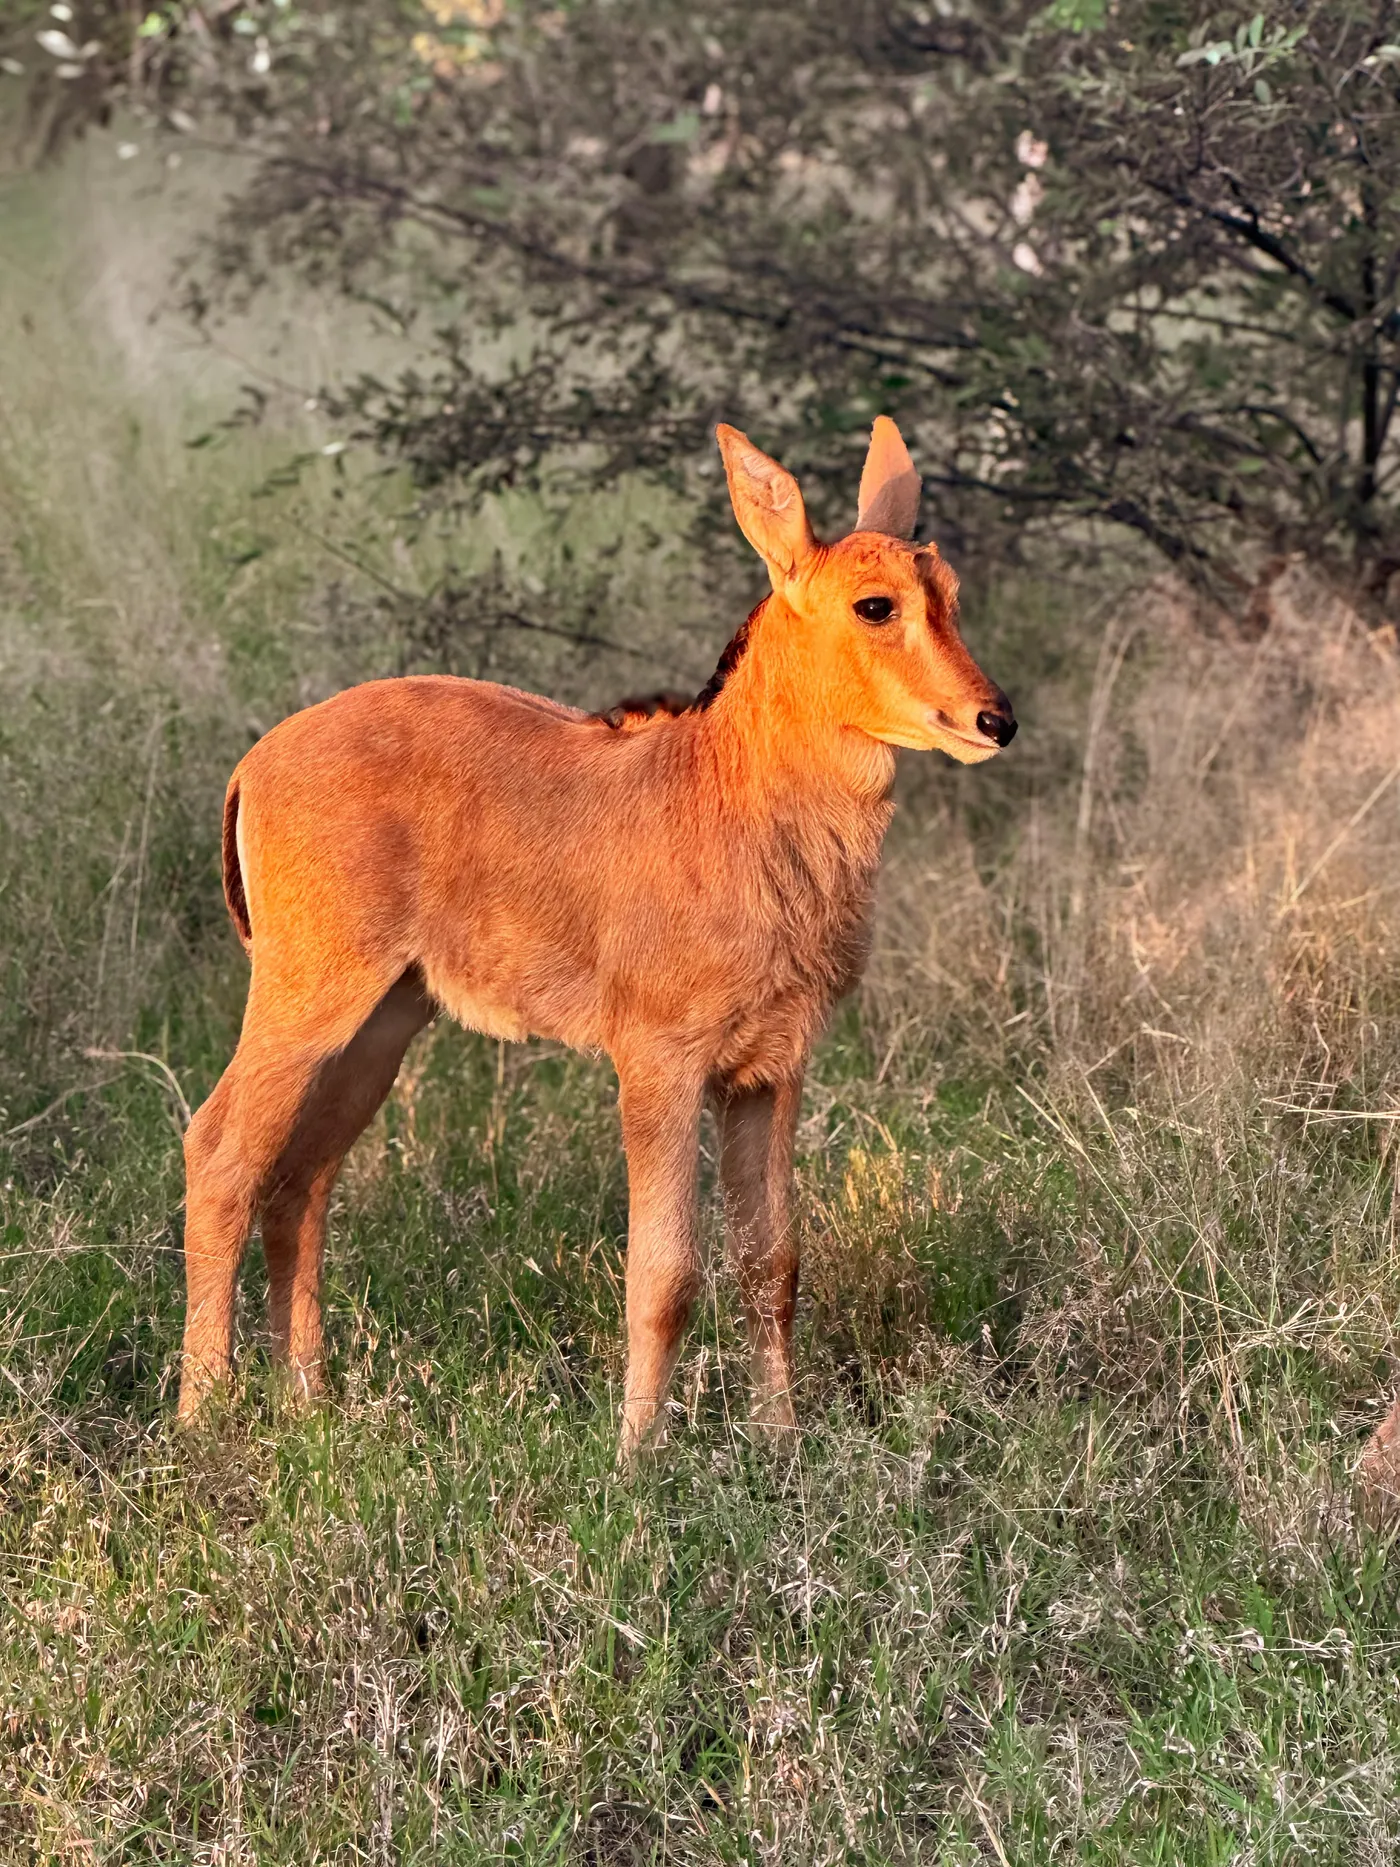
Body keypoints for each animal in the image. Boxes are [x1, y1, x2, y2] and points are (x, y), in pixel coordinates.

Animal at [178, 418, 1017, 1453]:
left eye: (950, 595)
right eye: (875, 604)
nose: (994, 719)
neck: (734, 795)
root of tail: (254, 762)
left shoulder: (771, 1070)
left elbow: (772, 1263)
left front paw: (780, 1441)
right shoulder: (657, 1061)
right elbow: (664, 1274)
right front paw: (636, 1457)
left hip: (380, 1026)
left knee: (301, 1178)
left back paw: (311, 1403)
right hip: (305, 999)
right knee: (220, 1155)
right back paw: (201, 1416)